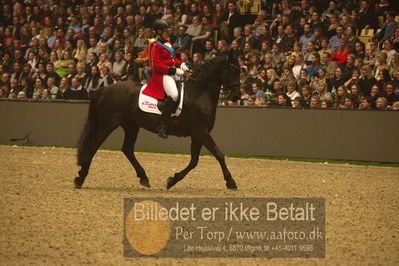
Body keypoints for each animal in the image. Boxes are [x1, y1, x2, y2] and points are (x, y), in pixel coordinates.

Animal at [76, 50, 241, 189]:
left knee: (127, 149)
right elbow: (219, 155)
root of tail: (105, 89)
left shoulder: (198, 134)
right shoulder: (201, 132)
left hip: (131, 125)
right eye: (233, 71)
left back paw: (143, 178)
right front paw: (231, 182)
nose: (236, 96)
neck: (199, 94)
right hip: (108, 123)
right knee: (93, 146)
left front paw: (172, 180)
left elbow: (194, 161)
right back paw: (80, 178)